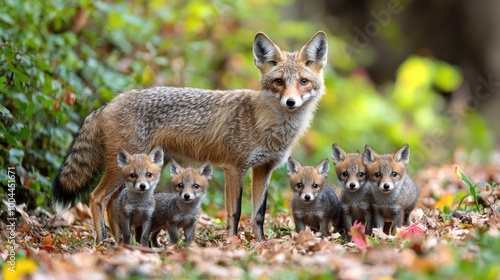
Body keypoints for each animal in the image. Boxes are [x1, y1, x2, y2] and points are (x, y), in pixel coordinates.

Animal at [52, 30, 330, 241]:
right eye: (279, 82)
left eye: (303, 81)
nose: (291, 102)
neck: (267, 125)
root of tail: (110, 102)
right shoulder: (235, 168)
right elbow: (235, 213)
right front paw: (233, 244)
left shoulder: (264, 169)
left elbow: (258, 214)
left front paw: (260, 244)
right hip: (124, 169)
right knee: (97, 198)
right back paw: (103, 239)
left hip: (139, 171)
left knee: (112, 203)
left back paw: (123, 238)